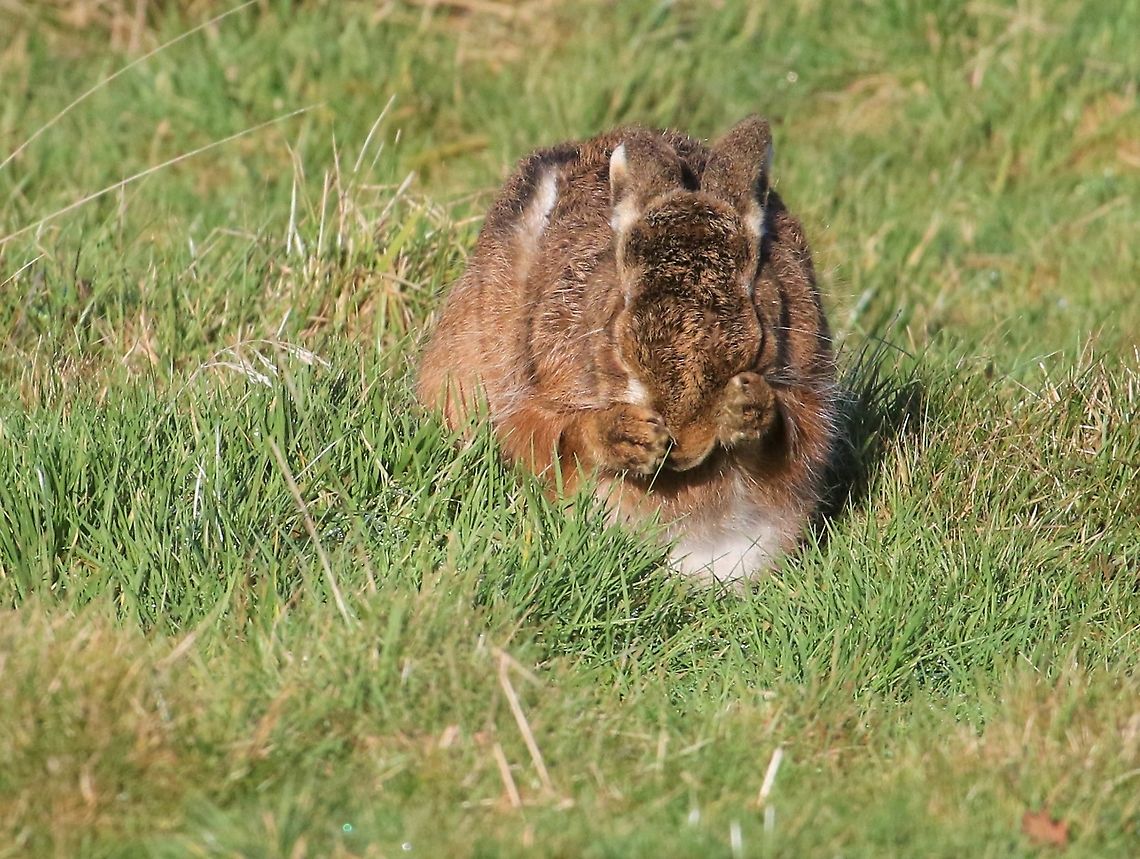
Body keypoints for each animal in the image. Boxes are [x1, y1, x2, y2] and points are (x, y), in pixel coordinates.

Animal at [417, 115, 837, 587]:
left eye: (752, 296)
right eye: (624, 300)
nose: (685, 445)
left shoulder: (811, 392)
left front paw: (746, 408)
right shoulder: (534, 397)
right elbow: (554, 439)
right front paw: (626, 436)